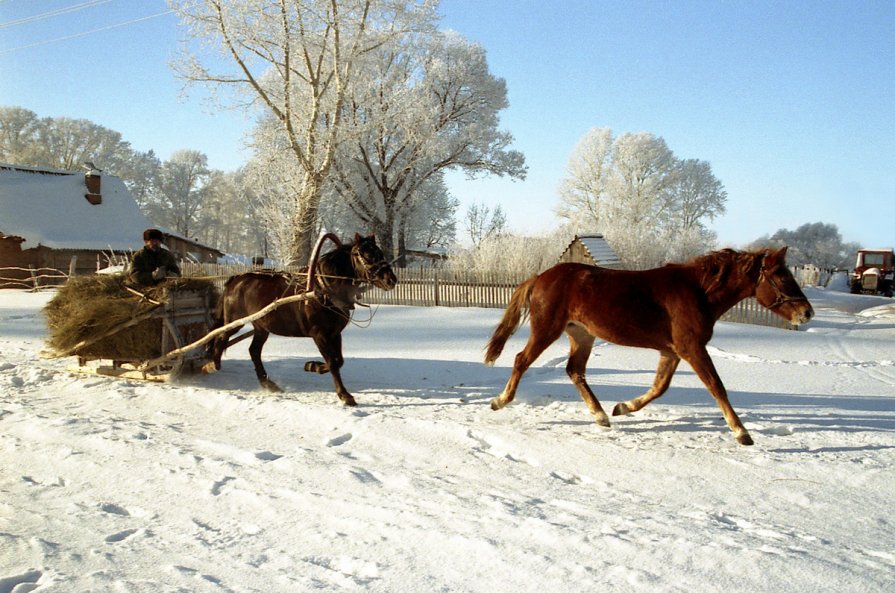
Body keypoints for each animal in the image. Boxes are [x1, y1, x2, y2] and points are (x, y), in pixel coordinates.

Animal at [209, 234, 396, 404]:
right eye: (365, 254)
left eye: (380, 252)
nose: (391, 280)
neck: (323, 289)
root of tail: (236, 279)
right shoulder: (319, 335)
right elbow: (333, 363)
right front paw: (344, 395)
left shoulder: (335, 334)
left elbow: (339, 360)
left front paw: (313, 366)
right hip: (235, 321)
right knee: (220, 337)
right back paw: (212, 364)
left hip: (262, 327)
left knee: (253, 351)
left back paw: (268, 383)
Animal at [486, 245, 816, 444]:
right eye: (782, 278)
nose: (807, 312)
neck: (698, 292)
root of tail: (540, 276)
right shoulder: (691, 348)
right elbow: (716, 386)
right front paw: (741, 432)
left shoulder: (671, 351)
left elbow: (660, 387)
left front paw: (623, 407)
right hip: (547, 330)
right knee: (521, 360)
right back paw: (499, 400)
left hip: (582, 335)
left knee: (574, 371)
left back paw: (601, 416)